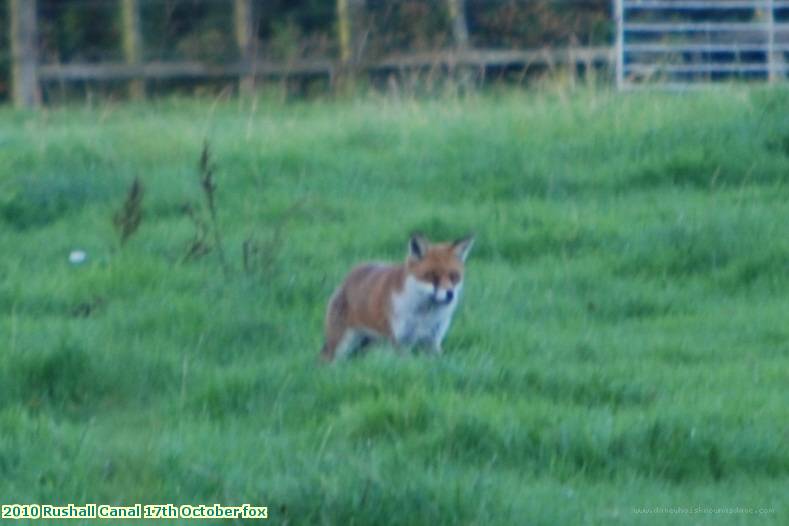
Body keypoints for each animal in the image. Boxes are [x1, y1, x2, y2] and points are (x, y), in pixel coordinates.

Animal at [320, 235, 474, 364]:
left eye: (454, 276)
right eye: (432, 276)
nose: (450, 294)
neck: (424, 316)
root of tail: (349, 275)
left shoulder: (432, 342)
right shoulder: (400, 342)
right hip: (341, 345)